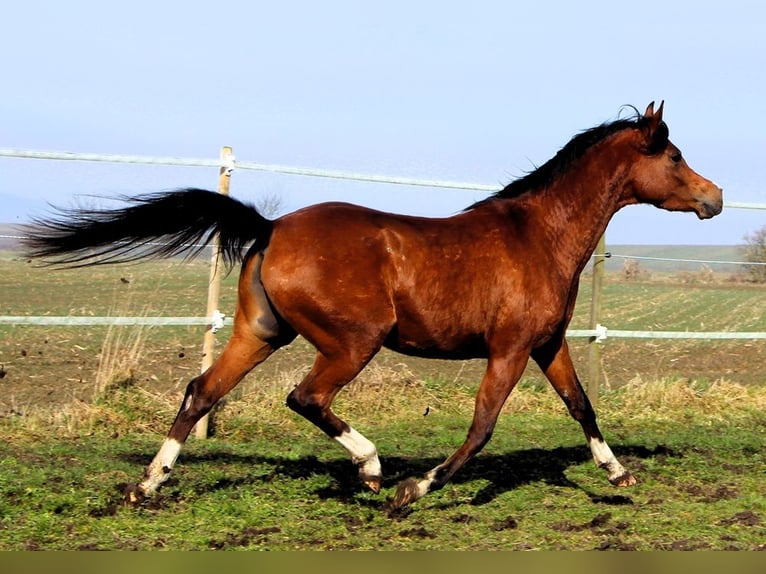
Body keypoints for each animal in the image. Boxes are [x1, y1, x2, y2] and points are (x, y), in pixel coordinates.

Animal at [21, 101, 724, 510]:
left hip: (260, 332)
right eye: (674, 155)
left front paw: (618, 474)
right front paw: (415, 489)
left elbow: (582, 406)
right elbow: (481, 427)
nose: (714, 197)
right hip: (353, 341)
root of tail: (271, 227)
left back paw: (146, 486)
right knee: (304, 397)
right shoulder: (510, 348)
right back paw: (373, 469)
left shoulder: (547, 344)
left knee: (202, 390)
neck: (539, 235)